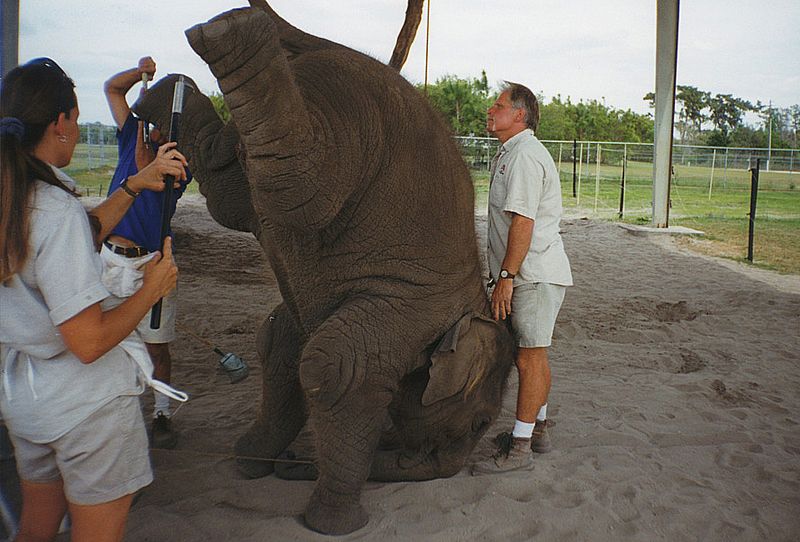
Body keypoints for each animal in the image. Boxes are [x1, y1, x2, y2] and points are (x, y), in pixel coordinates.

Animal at [134, 1, 516, 536]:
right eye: (480, 422)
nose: (295, 462)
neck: (473, 303)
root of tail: (326, 45)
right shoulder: (415, 304)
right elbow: (338, 365)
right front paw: (334, 524)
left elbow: (281, 344)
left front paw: (250, 464)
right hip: (349, 120)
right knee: (296, 184)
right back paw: (234, 34)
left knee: (235, 184)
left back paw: (169, 85)